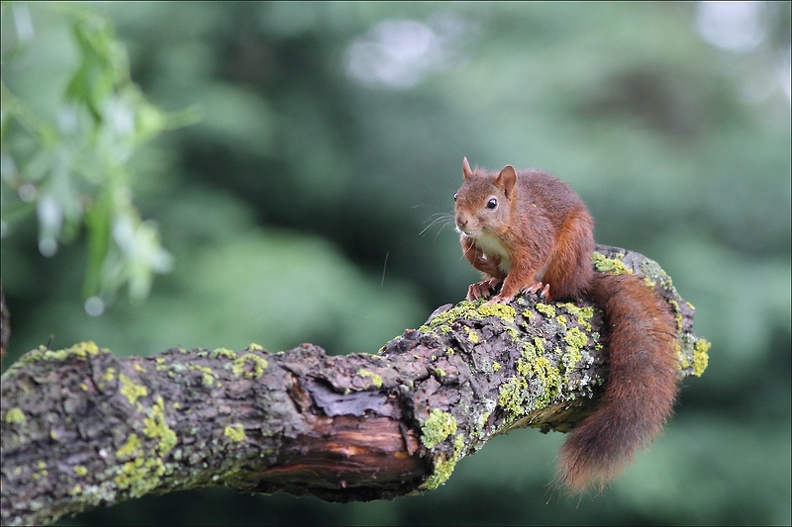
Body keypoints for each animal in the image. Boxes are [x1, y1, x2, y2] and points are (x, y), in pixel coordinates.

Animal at [454, 157, 676, 496]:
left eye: (492, 203)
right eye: (456, 196)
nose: (462, 222)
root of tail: (584, 276)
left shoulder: (534, 238)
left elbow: (522, 269)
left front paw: (505, 294)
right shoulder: (473, 241)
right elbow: (473, 253)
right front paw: (484, 270)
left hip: (569, 252)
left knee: (561, 288)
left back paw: (540, 288)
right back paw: (484, 284)